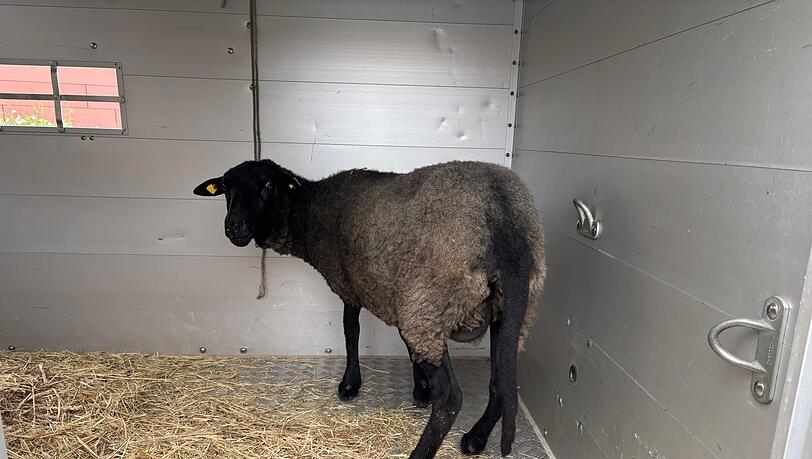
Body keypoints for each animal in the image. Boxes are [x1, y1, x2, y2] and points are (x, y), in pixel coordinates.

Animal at [194, 159, 545, 459]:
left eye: (267, 185)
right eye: (225, 188)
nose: (234, 227)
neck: (311, 213)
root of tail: (504, 218)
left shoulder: (353, 286)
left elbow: (351, 331)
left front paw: (350, 384)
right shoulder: (397, 294)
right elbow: (406, 344)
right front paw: (420, 389)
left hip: (431, 302)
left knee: (451, 398)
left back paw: (421, 451)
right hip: (509, 310)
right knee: (502, 380)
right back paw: (476, 438)